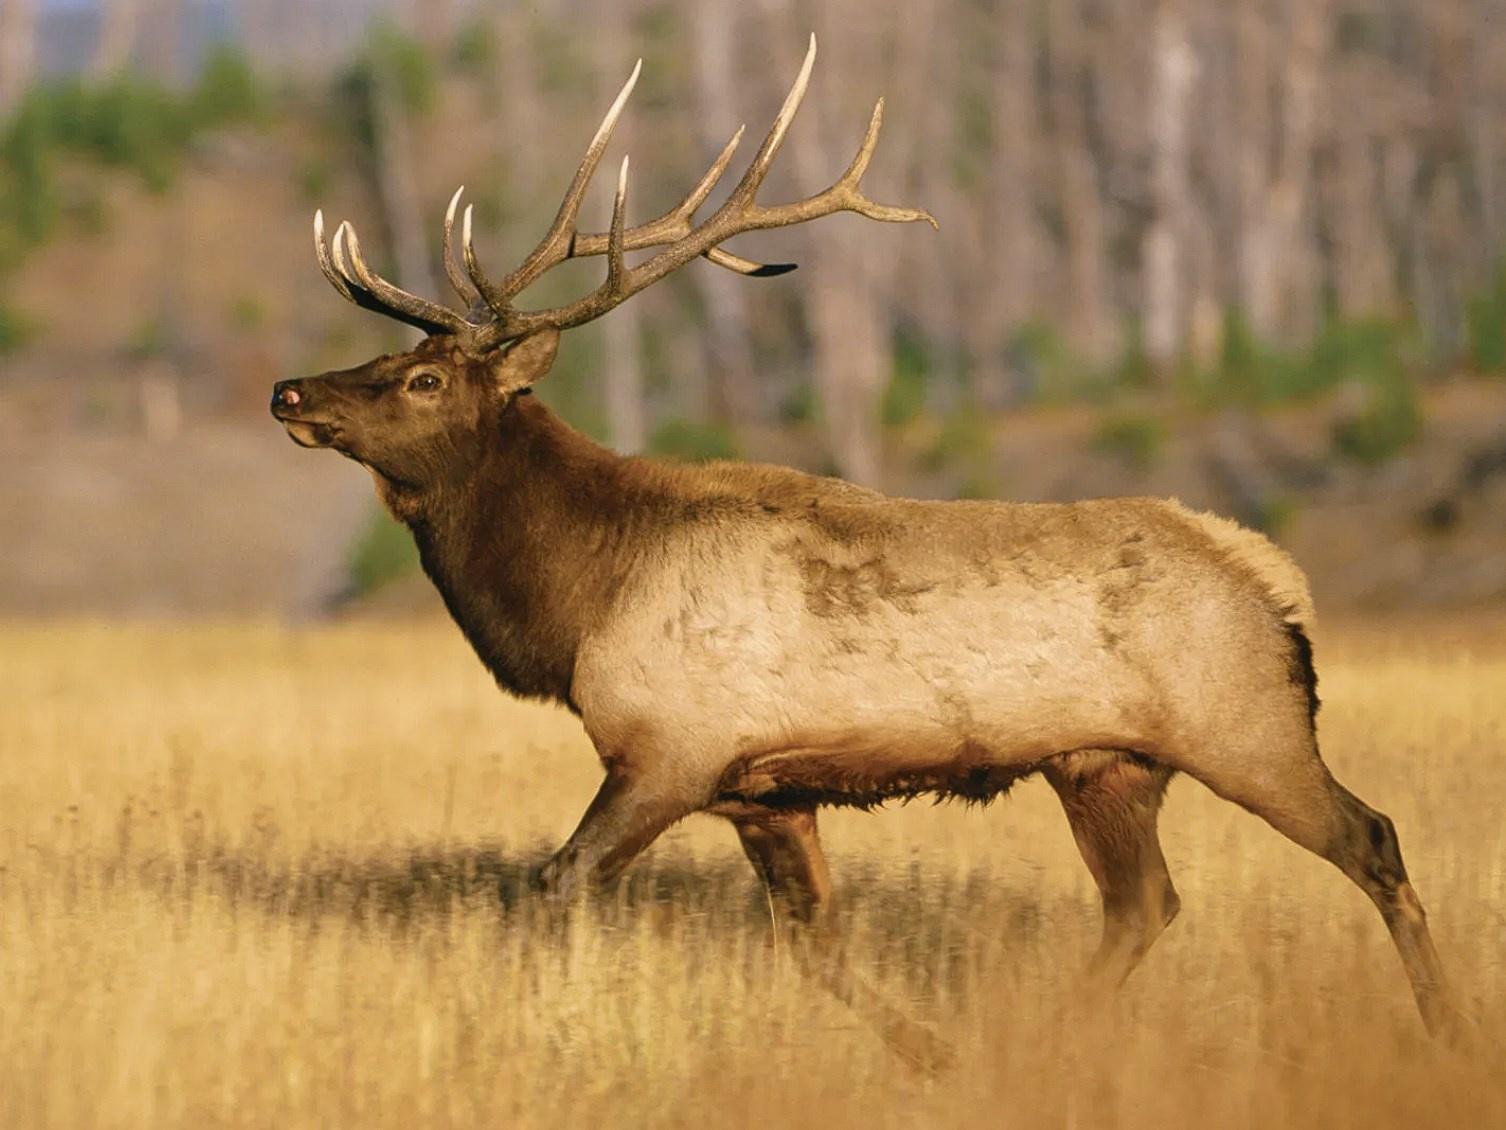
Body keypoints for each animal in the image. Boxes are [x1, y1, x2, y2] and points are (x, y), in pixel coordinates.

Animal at [271, 37, 1464, 1057]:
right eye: (381, 356)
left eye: (423, 377)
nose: (290, 390)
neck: (577, 600)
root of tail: (1279, 583)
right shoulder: (764, 788)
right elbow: (814, 943)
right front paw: (930, 1053)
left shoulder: (671, 748)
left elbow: (558, 883)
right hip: (1105, 765)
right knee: (1145, 905)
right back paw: (1042, 1043)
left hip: (1245, 723)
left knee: (1372, 838)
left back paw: (1448, 1032)